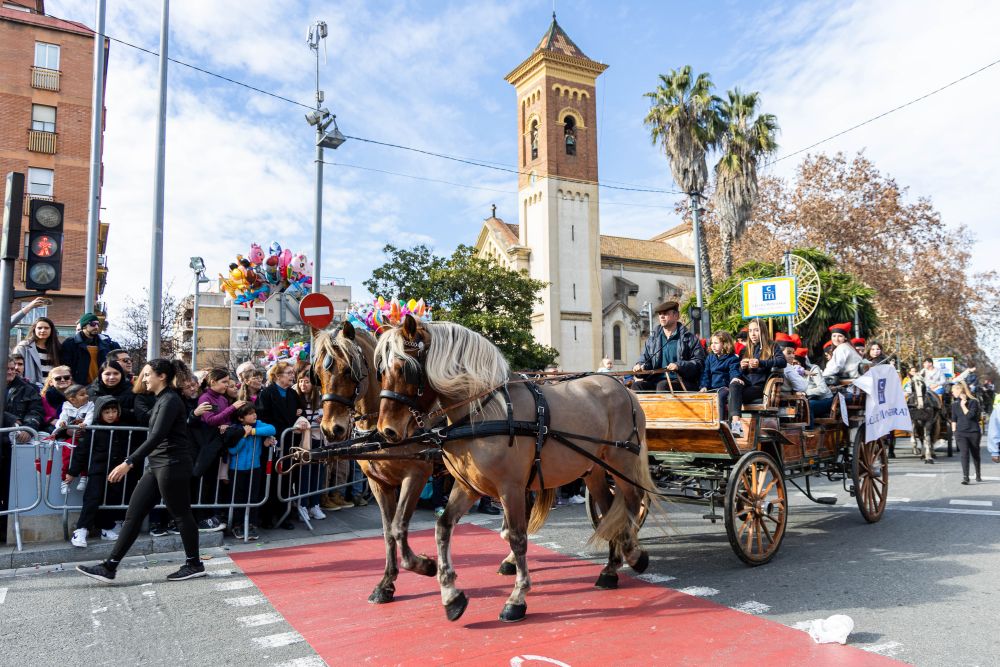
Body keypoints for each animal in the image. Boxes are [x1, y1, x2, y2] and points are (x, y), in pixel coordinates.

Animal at [376, 316, 656, 624]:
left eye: (404, 369)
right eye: (380, 371)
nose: (386, 430)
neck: (483, 412)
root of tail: (623, 388)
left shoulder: (510, 488)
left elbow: (517, 537)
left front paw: (517, 598)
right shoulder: (468, 486)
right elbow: (443, 528)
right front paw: (450, 594)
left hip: (621, 462)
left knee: (632, 501)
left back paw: (632, 553)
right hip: (593, 470)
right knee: (608, 510)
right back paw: (610, 568)